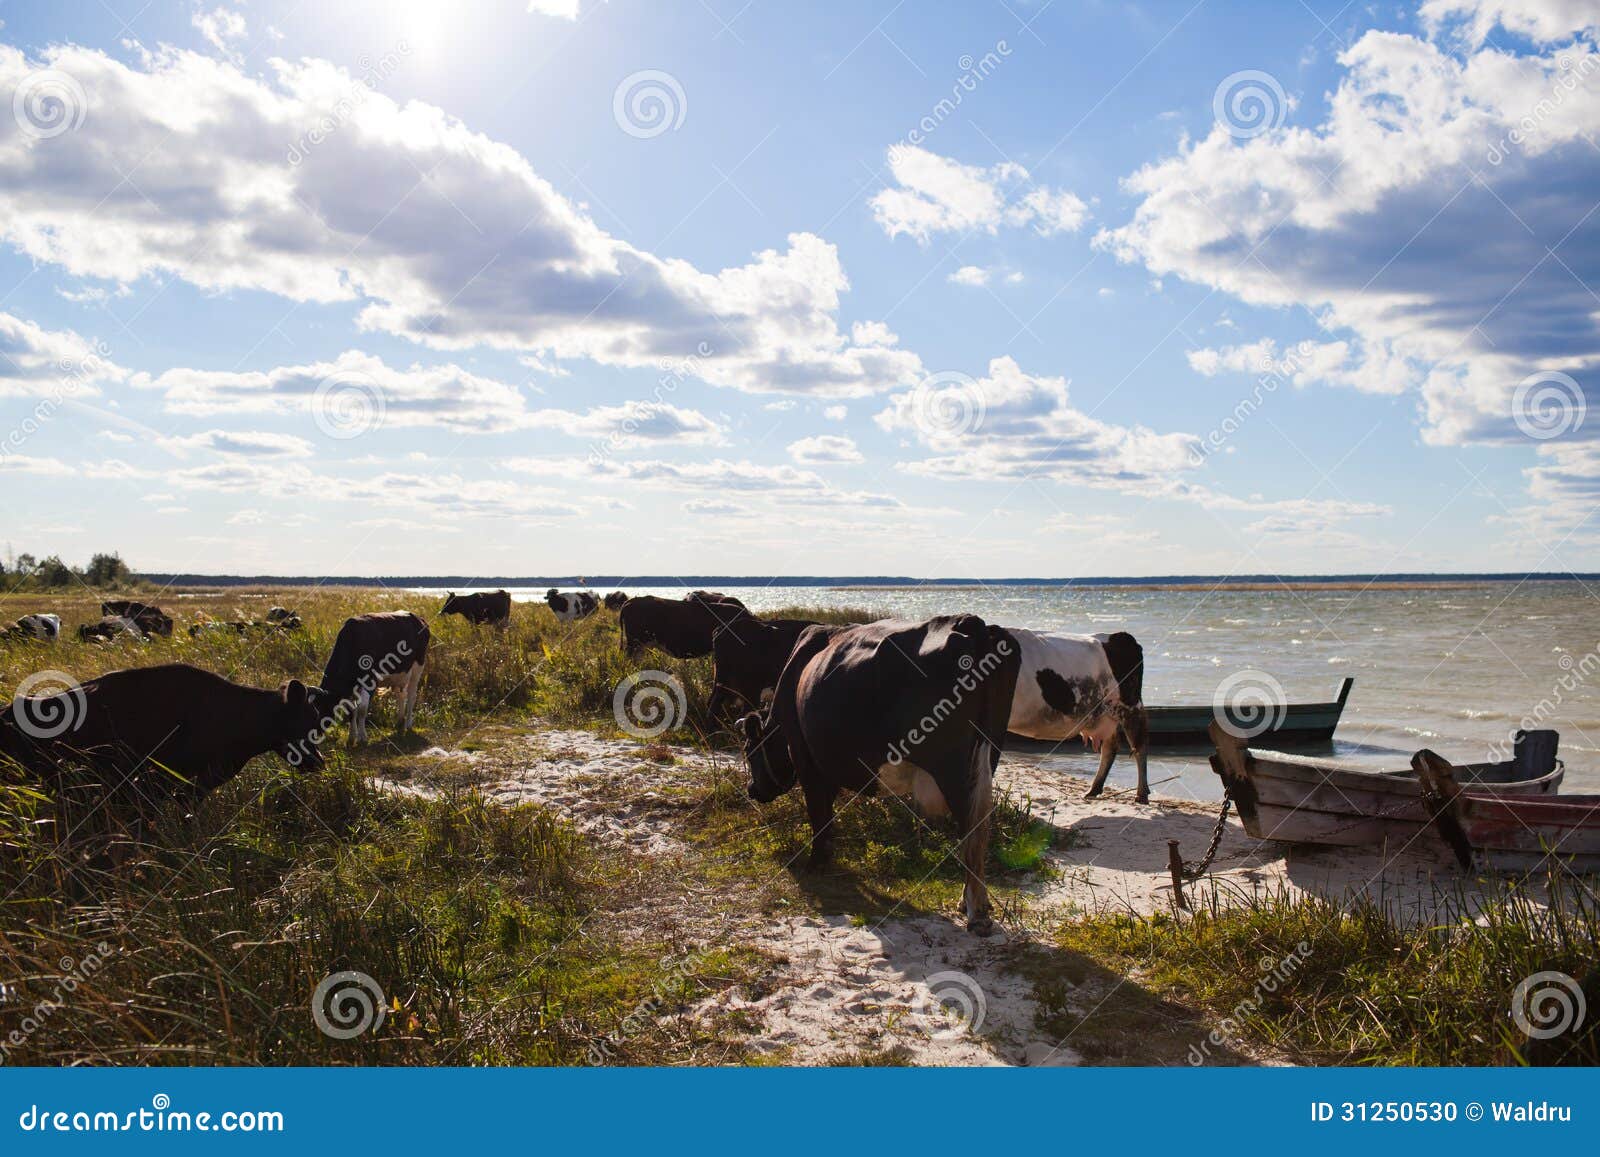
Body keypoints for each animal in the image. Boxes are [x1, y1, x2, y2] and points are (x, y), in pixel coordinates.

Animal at [316, 612, 430, 745]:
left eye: (318, 709)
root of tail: (417, 617)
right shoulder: (351, 687)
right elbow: (351, 710)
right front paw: (352, 737)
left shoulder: (370, 681)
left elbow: (362, 709)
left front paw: (363, 737)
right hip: (399, 673)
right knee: (401, 694)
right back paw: (400, 722)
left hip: (418, 666)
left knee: (411, 695)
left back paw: (408, 724)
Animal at [741, 615, 1020, 936]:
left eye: (749, 749)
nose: (752, 789)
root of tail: (971, 624)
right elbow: (828, 812)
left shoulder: (806, 758)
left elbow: (819, 813)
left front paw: (816, 862)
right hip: (988, 754)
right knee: (979, 827)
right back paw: (972, 903)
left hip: (954, 769)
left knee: (970, 827)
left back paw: (977, 913)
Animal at [1006, 629, 1151, 803]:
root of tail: (1120, 636)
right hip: (1107, 713)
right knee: (1111, 746)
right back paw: (1094, 789)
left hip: (1130, 706)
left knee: (1139, 746)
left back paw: (1141, 794)